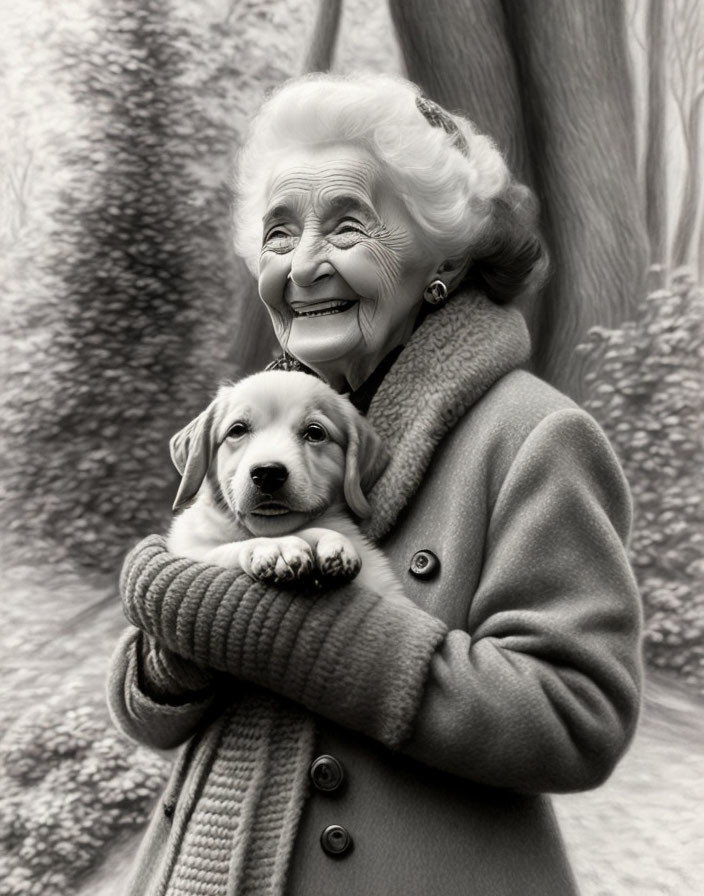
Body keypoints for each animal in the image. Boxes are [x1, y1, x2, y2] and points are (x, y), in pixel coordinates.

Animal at [166, 368, 404, 600]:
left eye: (315, 432)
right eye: (237, 430)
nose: (267, 473)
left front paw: (331, 540)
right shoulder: (188, 546)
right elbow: (223, 549)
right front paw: (277, 546)